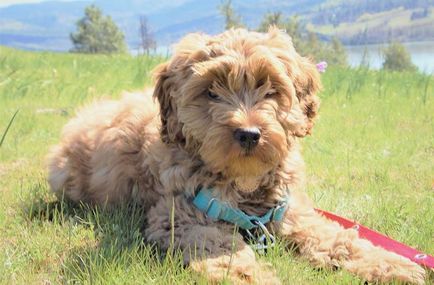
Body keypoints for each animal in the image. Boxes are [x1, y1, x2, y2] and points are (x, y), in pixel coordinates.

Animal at [47, 27, 424, 282]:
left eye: (270, 89)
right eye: (211, 92)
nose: (248, 134)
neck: (244, 185)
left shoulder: (292, 212)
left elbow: (334, 238)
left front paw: (390, 264)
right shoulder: (180, 218)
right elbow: (222, 250)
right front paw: (254, 276)